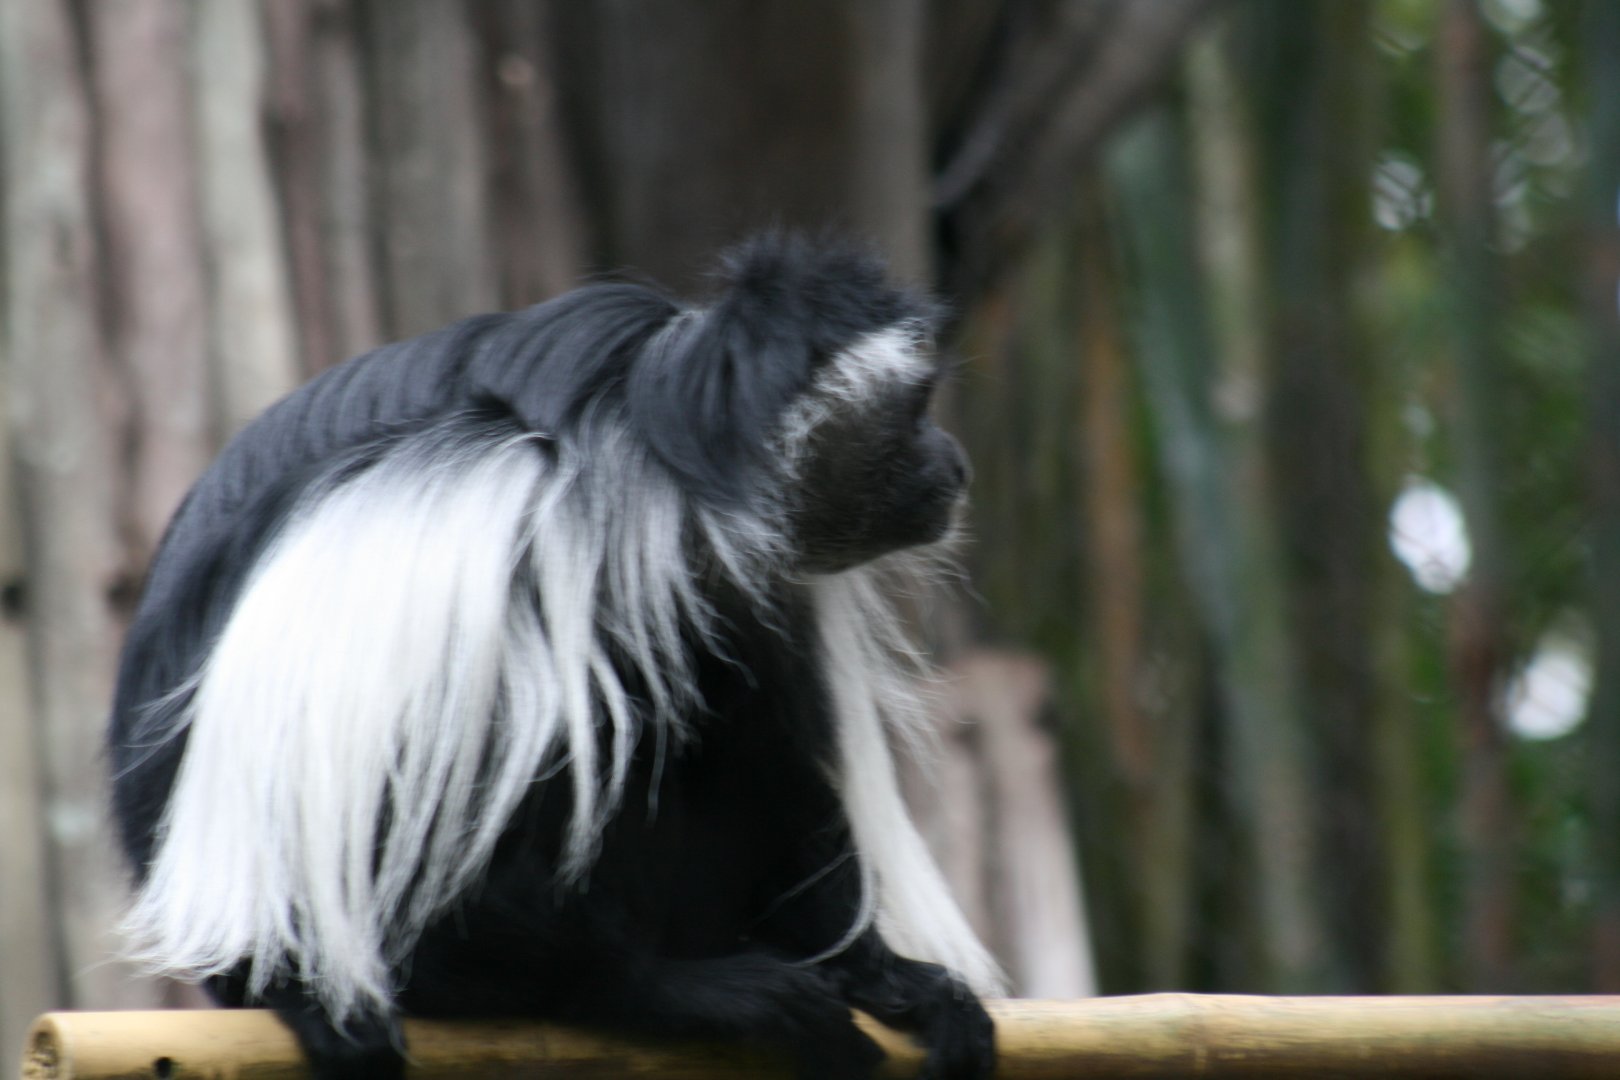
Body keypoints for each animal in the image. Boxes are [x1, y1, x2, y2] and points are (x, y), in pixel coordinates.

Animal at [107, 234, 1001, 1079]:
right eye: (914, 410)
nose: (955, 460)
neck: (651, 451)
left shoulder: (746, 578)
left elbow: (775, 753)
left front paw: (886, 978)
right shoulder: (492, 500)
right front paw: (679, 989)